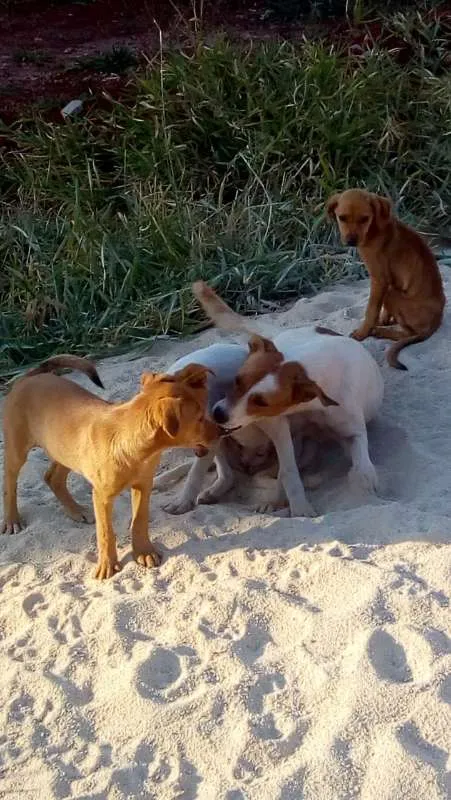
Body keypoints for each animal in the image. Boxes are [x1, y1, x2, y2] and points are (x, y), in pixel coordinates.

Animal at [0, 354, 223, 576]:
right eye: (199, 418)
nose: (224, 432)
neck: (132, 444)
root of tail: (30, 376)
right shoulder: (102, 496)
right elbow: (106, 533)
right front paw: (107, 565)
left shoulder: (143, 485)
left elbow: (139, 521)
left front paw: (144, 552)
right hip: (18, 448)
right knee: (10, 482)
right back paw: (12, 520)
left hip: (64, 449)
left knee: (52, 477)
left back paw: (77, 511)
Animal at [326, 189, 446, 370]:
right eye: (342, 218)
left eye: (364, 219)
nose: (351, 241)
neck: (374, 229)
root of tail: (436, 321)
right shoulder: (387, 281)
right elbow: (380, 307)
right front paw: (384, 319)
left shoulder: (380, 279)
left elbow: (371, 310)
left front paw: (363, 332)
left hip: (393, 295)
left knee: (408, 333)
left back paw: (380, 331)